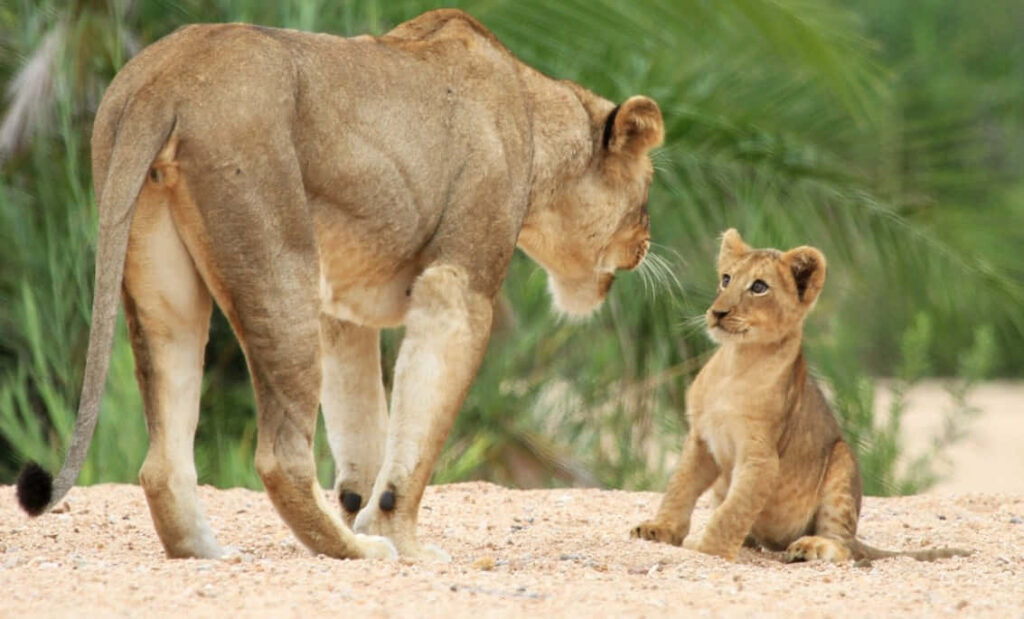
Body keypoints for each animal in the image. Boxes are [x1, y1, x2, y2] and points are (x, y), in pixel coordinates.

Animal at [15, 9, 663, 561]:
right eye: (648, 194)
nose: (646, 243)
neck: (534, 112)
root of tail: (164, 77)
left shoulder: (342, 308)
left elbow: (363, 427)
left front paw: (364, 509)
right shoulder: (459, 287)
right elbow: (416, 432)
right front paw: (399, 541)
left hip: (160, 281)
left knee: (162, 456)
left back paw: (208, 552)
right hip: (280, 268)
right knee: (280, 456)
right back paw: (354, 551)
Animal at [631, 229, 968, 563]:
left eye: (758, 287)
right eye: (726, 279)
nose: (717, 312)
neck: (735, 362)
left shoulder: (761, 457)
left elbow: (732, 512)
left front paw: (707, 549)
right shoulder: (701, 439)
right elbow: (680, 488)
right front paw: (659, 529)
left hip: (842, 461)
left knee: (843, 547)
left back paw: (810, 547)